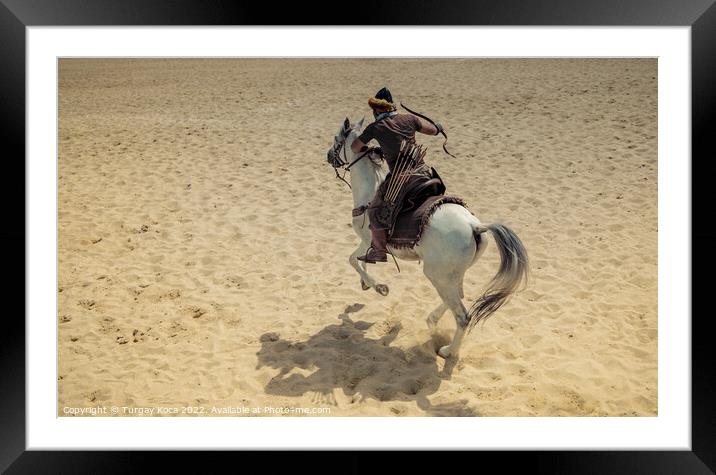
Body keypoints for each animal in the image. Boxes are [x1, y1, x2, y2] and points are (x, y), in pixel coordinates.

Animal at [328, 117, 528, 358]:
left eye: (337, 140)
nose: (328, 156)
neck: (370, 191)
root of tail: (475, 226)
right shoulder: (367, 243)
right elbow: (357, 260)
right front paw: (367, 284)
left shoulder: (370, 241)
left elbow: (352, 259)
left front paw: (378, 287)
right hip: (451, 274)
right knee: (458, 295)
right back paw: (433, 321)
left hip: (437, 275)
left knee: (463, 316)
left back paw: (448, 351)